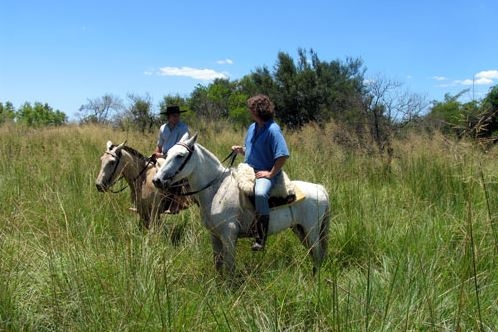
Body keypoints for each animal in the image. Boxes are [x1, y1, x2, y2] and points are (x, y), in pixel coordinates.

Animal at [152, 133, 330, 274]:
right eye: (167, 153)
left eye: (180, 155)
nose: (156, 180)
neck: (216, 189)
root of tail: (320, 189)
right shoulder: (215, 235)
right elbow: (218, 264)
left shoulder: (229, 235)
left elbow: (230, 267)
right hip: (300, 230)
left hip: (312, 231)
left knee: (318, 254)